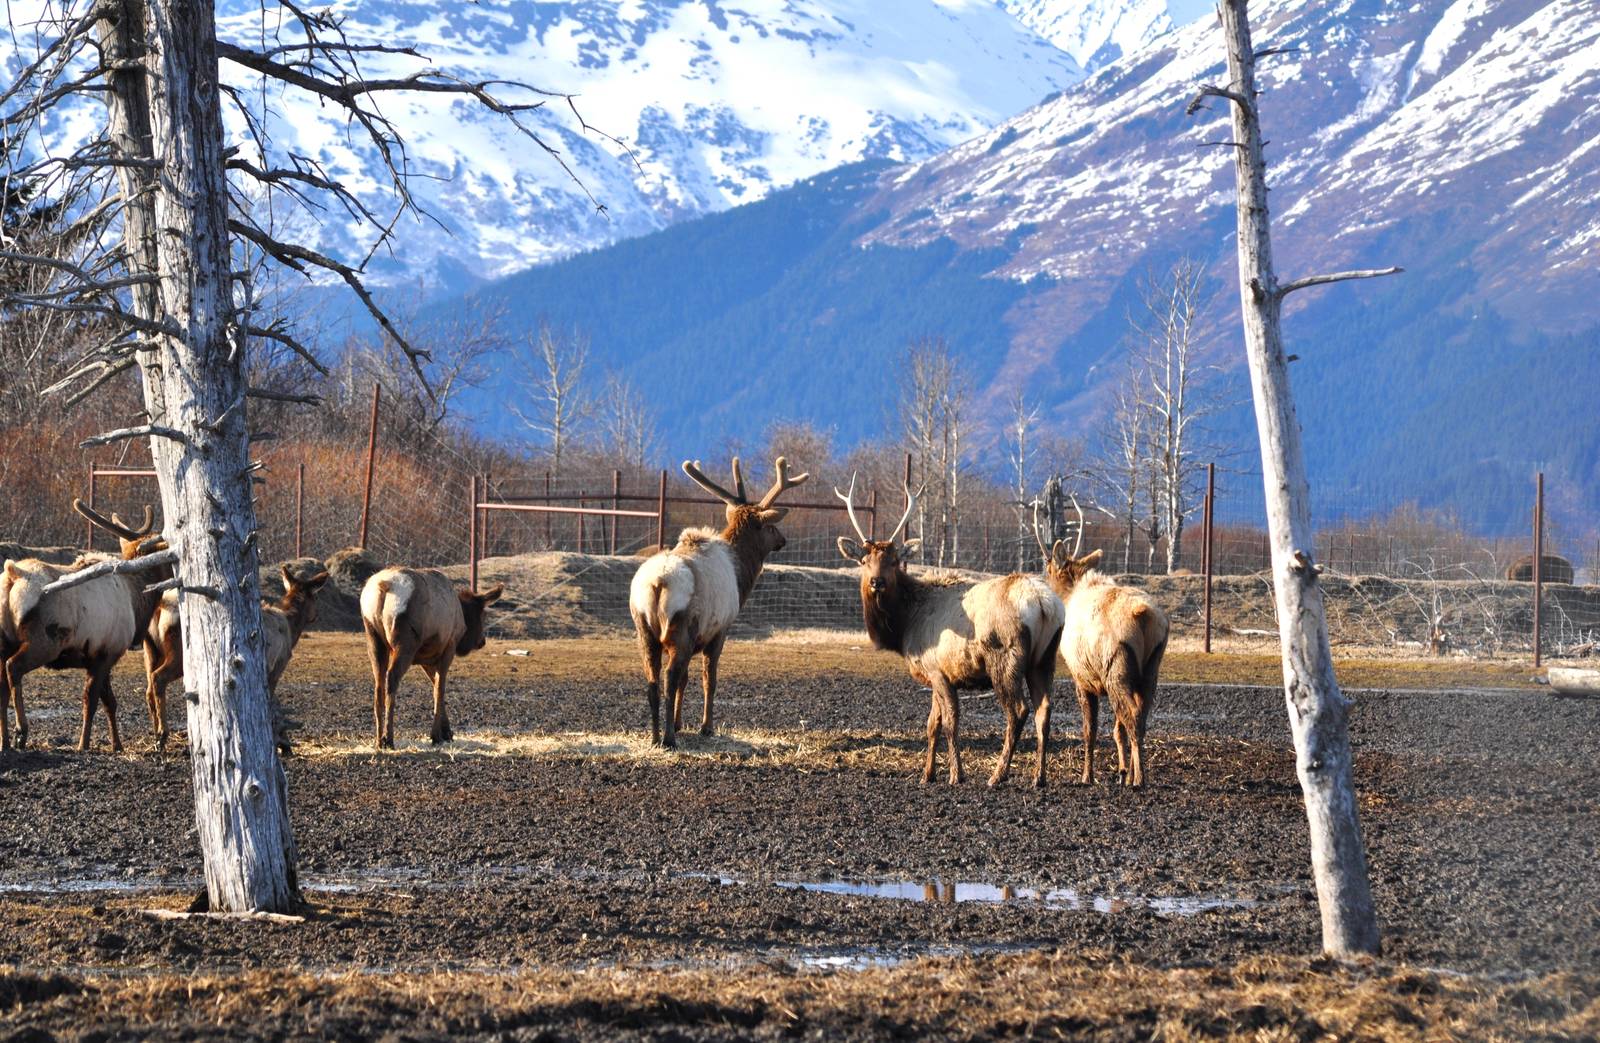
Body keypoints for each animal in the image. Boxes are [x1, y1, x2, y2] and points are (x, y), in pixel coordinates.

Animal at [361, 567, 503, 749]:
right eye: (482, 615)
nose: (482, 641)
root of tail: (383, 586)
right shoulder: (448, 646)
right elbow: (440, 689)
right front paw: (437, 735)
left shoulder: (425, 658)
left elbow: (435, 685)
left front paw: (447, 732)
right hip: (406, 641)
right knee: (392, 678)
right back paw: (389, 739)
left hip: (372, 635)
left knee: (379, 683)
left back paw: (379, 740)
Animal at [629, 456, 810, 747]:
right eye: (770, 526)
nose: (783, 540)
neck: (740, 574)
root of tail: (658, 583)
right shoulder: (720, 629)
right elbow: (709, 679)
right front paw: (706, 727)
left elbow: (686, 679)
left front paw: (680, 723)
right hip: (682, 625)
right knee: (669, 677)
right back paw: (668, 739)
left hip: (643, 627)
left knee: (652, 681)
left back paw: (656, 737)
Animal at [836, 477, 1065, 787]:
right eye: (863, 561)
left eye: (894, 561)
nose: (877, 581)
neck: (906, 625)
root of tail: (1044, 604)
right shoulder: (934, 674)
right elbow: (932, 724)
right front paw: (927, 774)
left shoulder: (938, 670)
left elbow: (950, 722)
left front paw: (956, 774)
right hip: (1044, 658)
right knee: (1044, 710)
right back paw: (1038, 777)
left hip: (1005, 656)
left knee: (1018, 711)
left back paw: (998, 774)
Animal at [1035, 504, 1169, 788]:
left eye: (1047, 567)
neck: (1070, 595)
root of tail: (1145, 616)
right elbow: (1116, 731)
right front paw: (1121, 771)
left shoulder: (1081, 677)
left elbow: (1090, 729)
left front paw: (1087, 776)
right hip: (1151, 668)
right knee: (1140, 718)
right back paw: (1135, 775)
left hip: (1116, 667)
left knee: (1132, 716)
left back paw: (1140, 779)